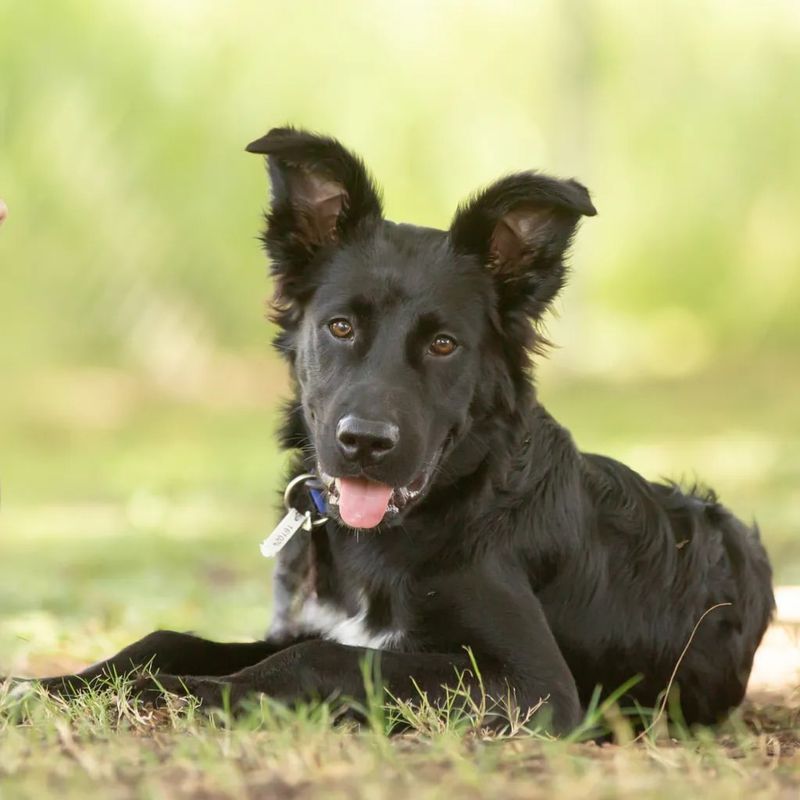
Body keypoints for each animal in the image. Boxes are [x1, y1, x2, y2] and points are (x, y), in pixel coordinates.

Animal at [14, 126, 776, 732]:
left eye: (443, 345)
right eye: (339, 327)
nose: (364, 444)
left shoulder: (534, 687)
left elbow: (320, 658)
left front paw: (174, 695)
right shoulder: (306, 620)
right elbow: (165, 637)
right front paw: (57, 685)